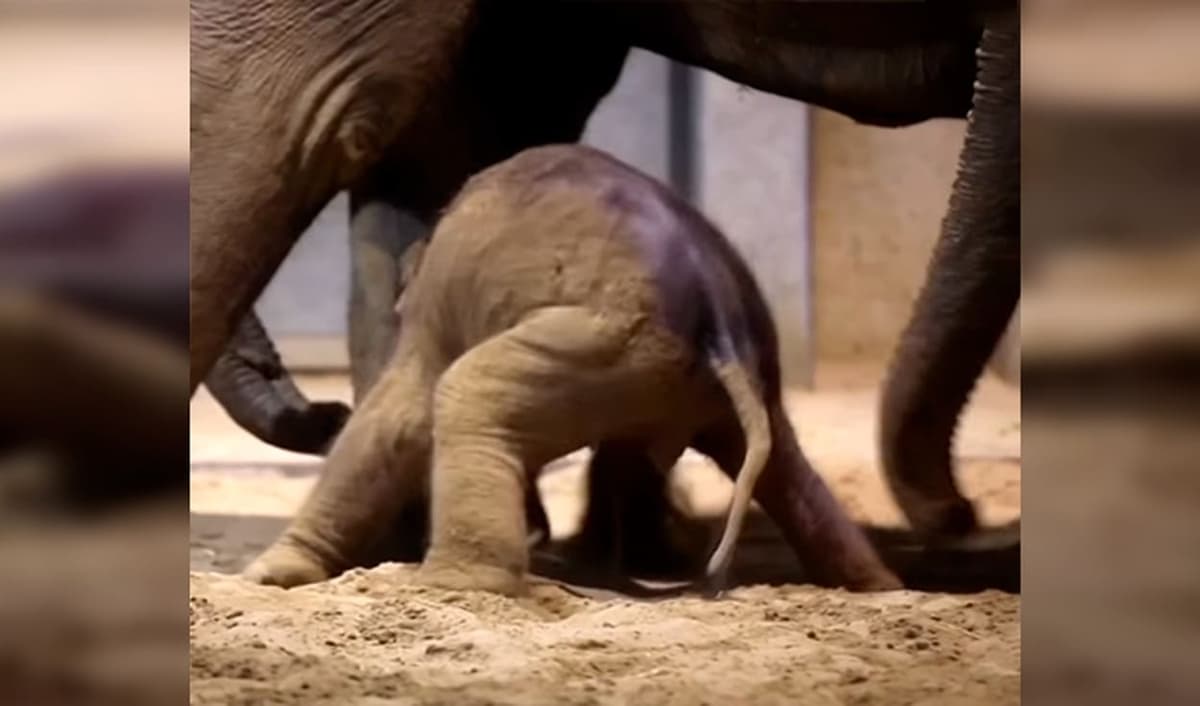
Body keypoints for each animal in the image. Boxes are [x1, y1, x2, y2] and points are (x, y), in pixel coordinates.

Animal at [242, 145, 901, 595]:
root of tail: (714, 306)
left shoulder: (432, 314)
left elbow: (397, 413)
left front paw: (266, 576)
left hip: (608, 341)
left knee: (465, 394)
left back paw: (451, 585)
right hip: (694, 366)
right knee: (783, 463)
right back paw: (877, 588)